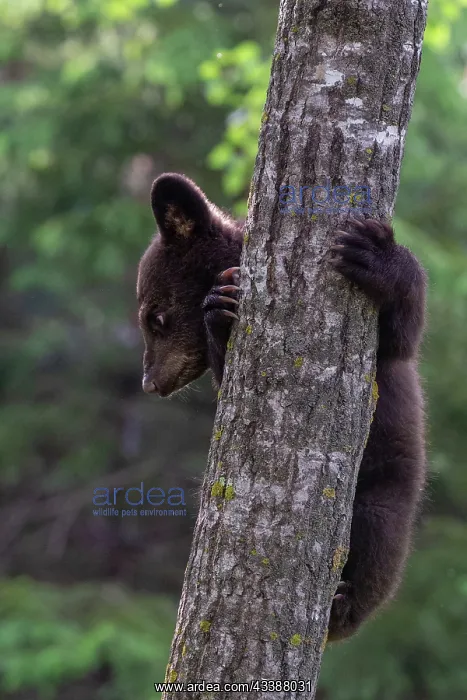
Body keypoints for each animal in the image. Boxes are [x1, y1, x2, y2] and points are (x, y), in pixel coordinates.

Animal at [137, 172, 427, 641]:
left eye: (155, 317)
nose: (150, 382)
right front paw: (219, 307)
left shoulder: (386, 360)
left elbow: (403, 335)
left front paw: (374, 255)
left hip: (384, 493)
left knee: (378, 546)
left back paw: (346, 603)